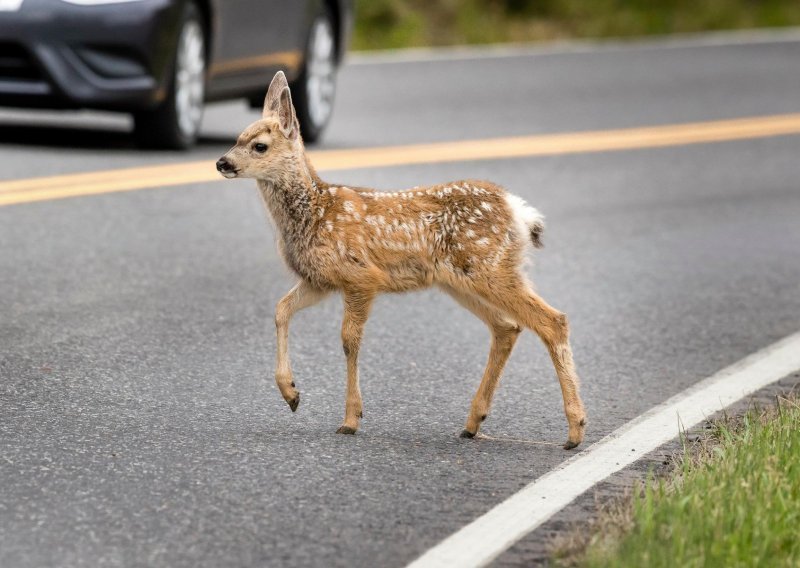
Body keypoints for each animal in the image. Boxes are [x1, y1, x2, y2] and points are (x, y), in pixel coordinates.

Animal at [216, 72, 584, 448]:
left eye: (260, 145)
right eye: (238, 138)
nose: (222, 162)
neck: (315, 213)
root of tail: (519, 212)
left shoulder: (361, 276)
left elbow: (348, 340)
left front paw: (351, 419)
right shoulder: (319, 281)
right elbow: (281, 310)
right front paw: (291, 394)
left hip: (490, 267)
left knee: (552, 321)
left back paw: (574, 430)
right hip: (459, 279)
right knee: (507, 327)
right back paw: (472, 423)